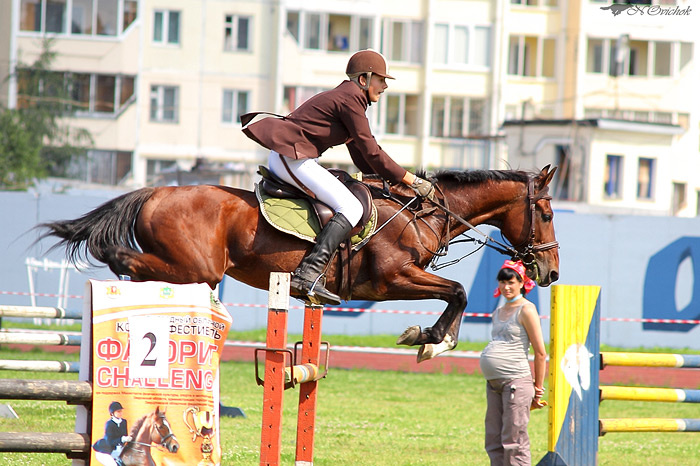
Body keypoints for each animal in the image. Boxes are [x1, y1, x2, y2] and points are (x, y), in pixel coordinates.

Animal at [39, 166, 564, 362]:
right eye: (546, 213)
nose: (551, 273)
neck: (422, 213)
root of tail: (155, 192)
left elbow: (454, 292)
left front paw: (430, 338)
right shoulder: (391, 279)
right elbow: (456, 290)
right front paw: (433, 340)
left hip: (192, 268)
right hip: (197, 268)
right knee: (123, 257)